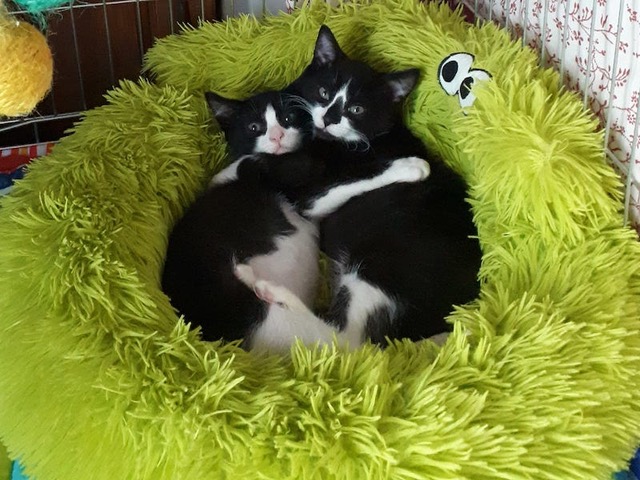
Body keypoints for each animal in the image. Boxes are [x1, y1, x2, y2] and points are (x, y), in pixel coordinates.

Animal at [161, 88, 431, 352]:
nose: (276, 136)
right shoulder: (304, 197)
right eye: (254, 127)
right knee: (345, 344)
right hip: (260, 317)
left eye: (288, 118)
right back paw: (260, 284)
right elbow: (348, 180)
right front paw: (408, 167)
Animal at [246, 25, 482, 346]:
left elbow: (350, 180)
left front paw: (414, 167)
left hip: (380, 267)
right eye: (324, 92)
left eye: (356, 109)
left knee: (349, 342)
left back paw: (270, 290)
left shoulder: (308, 196)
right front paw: (411, 165)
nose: (329, 117)